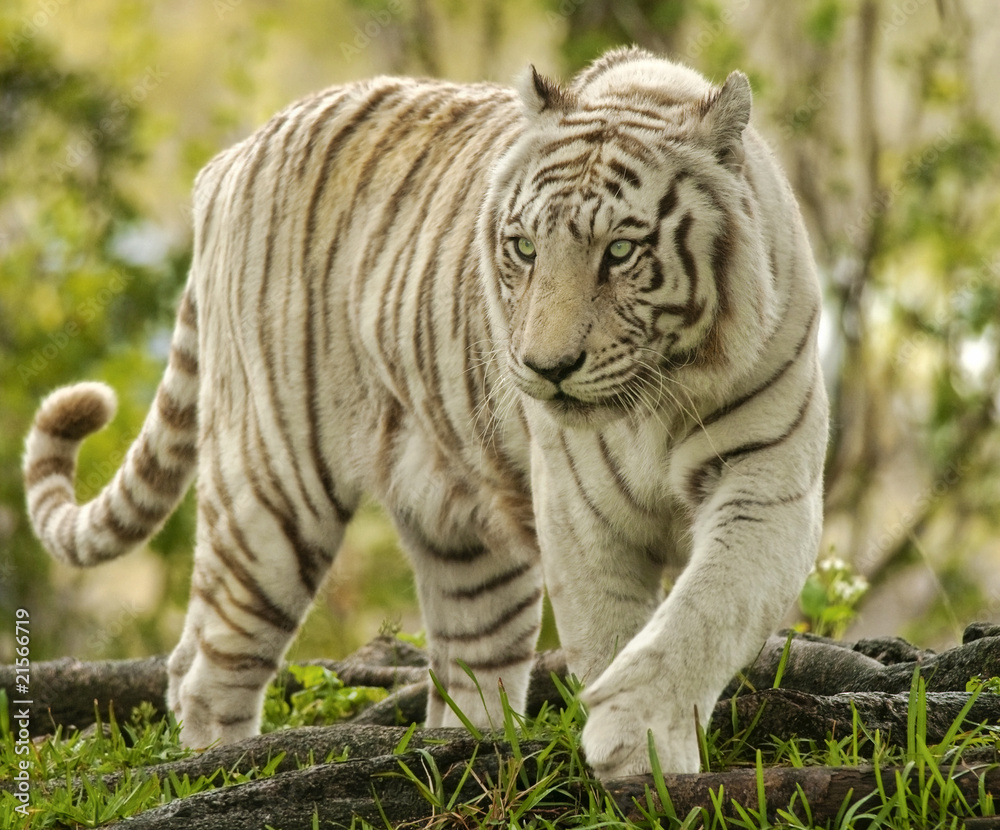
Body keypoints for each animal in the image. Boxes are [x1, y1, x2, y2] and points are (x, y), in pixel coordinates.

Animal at [23, 46, 828, 779]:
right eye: (524, 247)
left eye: (622, 251)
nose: (546, 369)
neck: (662, 392)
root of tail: (233, 158)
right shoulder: (582, 508)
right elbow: (614, 630)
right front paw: (637, 759)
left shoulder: (766, 484)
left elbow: (706, 609)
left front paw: (636, 738)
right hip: (276, 488)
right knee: (207, 667)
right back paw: (220, 771)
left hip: (465, 544)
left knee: (463, 666)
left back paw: (464, 750)